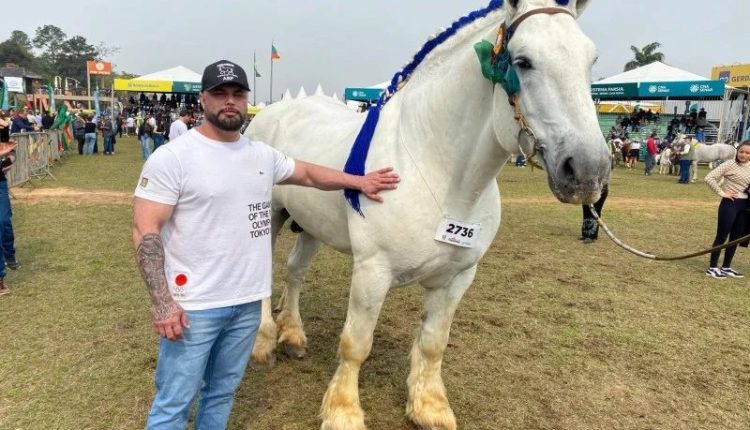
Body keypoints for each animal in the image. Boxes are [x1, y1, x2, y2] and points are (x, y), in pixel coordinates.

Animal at [247, 0, 612, 430]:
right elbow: (356, 343)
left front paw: (429, 406)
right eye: (523, 61)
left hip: (311, 226)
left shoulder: (458, 276)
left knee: (295, 270)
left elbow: (434, 343)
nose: (588, 171)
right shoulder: (373, 271)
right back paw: (264, 342)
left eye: (591, 60)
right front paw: (342, 411)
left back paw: (293, 335)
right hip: (268, 218)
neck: (436, 168)